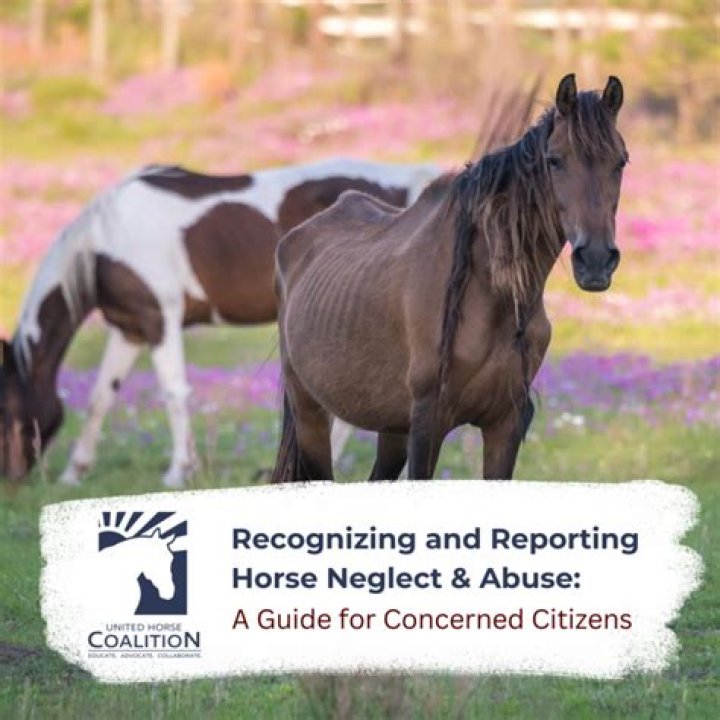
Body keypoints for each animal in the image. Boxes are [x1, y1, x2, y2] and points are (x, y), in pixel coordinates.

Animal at [0, 158, 441, 487]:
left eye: (8, 409)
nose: (11, 477)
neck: (104, 240)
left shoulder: (160, 319)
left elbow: (174, 392)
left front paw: (179, 470)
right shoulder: (130, 329)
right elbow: (100, 397)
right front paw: (75, 472)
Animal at [271, 74, 627, 482]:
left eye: (620, 161)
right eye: (555, 160)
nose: (596, 260)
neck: (488, 294)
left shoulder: (504, 423)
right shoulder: (429, 424)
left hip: (390, 428)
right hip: (311, 415)